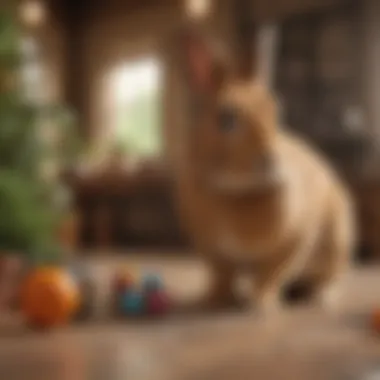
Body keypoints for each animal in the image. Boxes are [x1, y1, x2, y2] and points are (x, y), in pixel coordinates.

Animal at [170, 26, 356, 316]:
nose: (270, 160)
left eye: (275, 110)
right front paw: (214, 300)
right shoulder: (213, 250)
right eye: (226, 118)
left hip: (337, 241)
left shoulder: (292, 242)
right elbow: (222, 275)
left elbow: (272, 273)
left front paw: (260, 304)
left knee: (329, 279)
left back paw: (316, 298)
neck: (234, 192)